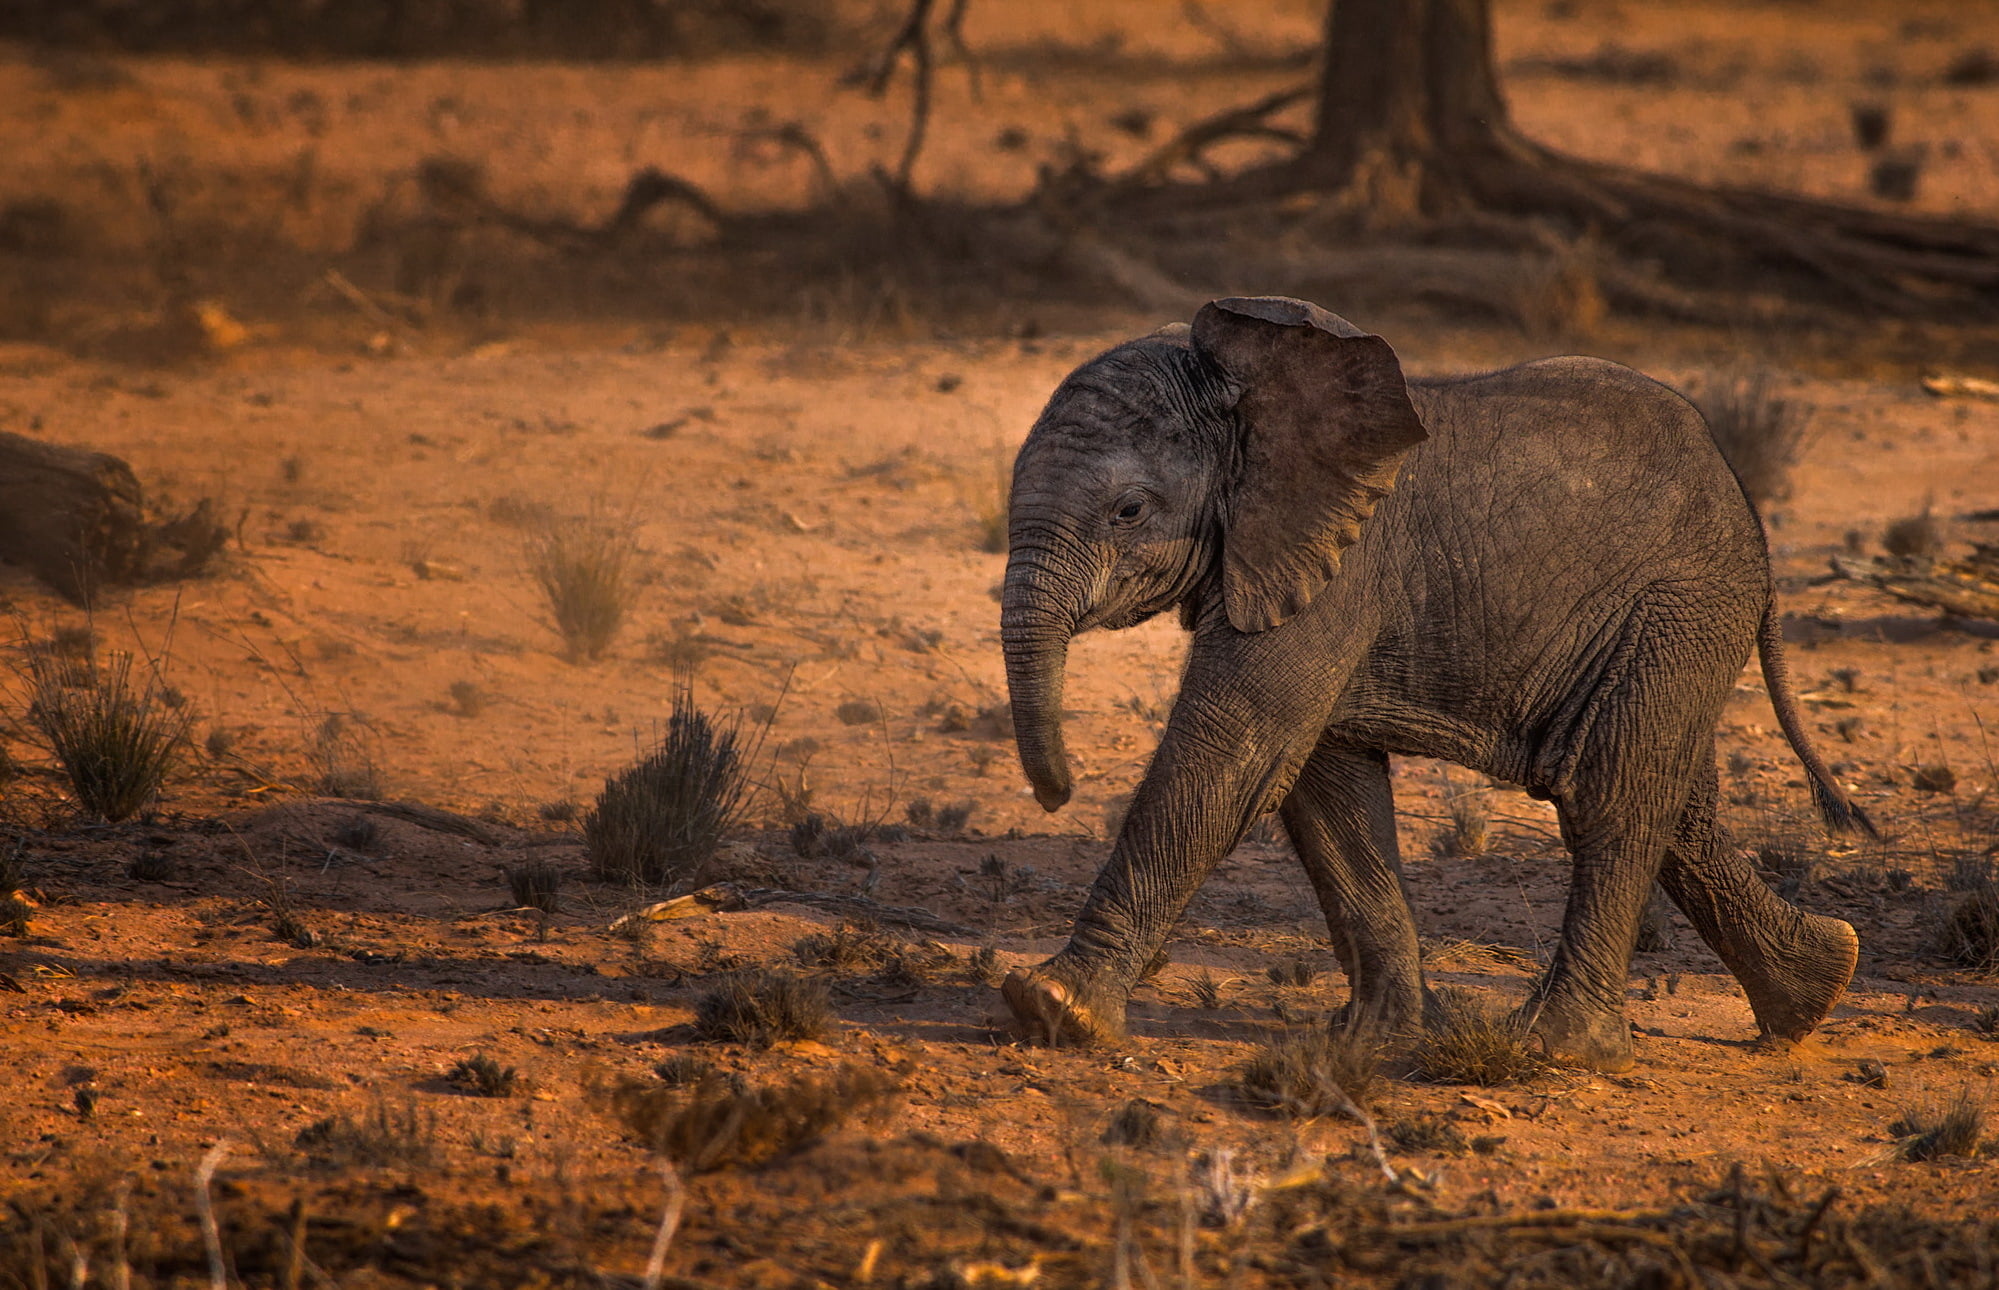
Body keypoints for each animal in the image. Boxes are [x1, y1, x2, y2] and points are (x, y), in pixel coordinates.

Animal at [997, 295, 1870, 1071]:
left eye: (1129, 511)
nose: (1059, 793)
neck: (1248, 390)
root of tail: (1749, 513)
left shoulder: (1342, 567)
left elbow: (1230, 757)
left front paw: (1052, 1009)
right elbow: (1327, 792)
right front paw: (1378, 1039)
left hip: (1678, 608)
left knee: (1608, 793)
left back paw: (1557, 1049)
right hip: (1670, 629)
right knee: (1678, 802)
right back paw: (1815, 989)